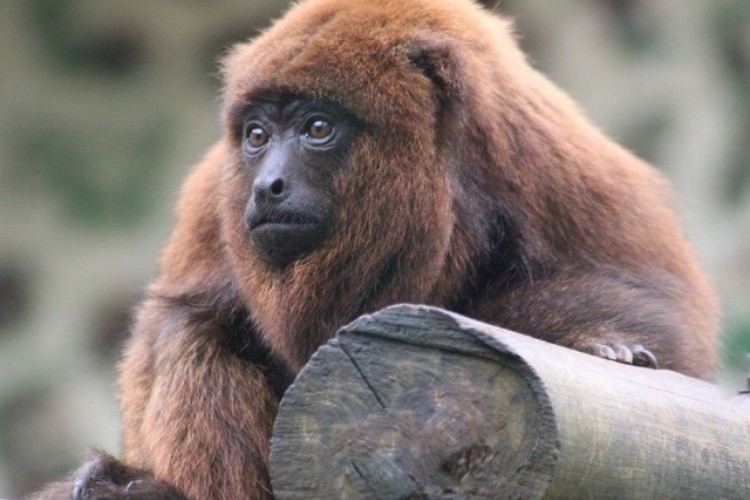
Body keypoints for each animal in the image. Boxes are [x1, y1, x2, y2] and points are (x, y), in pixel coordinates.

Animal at [32, 0, 719, 498]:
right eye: (257, 136)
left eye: (317, 128)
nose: (267, 185)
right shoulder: (213, 200)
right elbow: (173, 320)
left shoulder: (545, 157)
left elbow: (660, 316)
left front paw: (597, 342)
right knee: (191, 331)